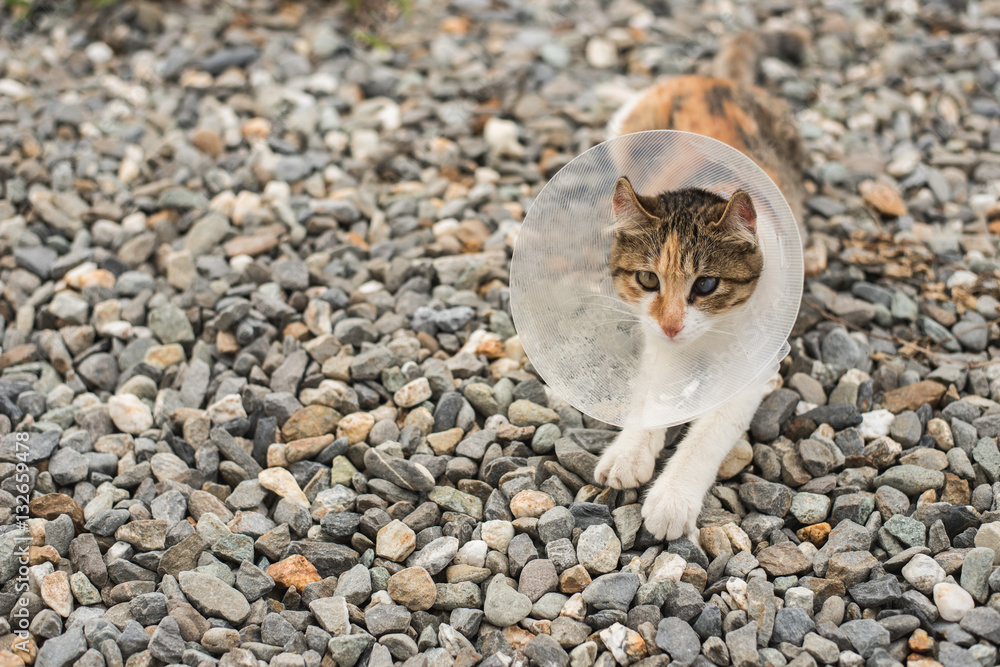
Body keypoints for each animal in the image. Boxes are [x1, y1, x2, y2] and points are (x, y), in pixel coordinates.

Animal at [592, 30, 804, 544]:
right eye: (648, 279)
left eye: (706, 284)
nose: (672, 325)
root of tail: (718, 80)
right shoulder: (657, 342)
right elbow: (652, 394)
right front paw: (628, 453)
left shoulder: (755, 366)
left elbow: (710, 433)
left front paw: (672, 498)